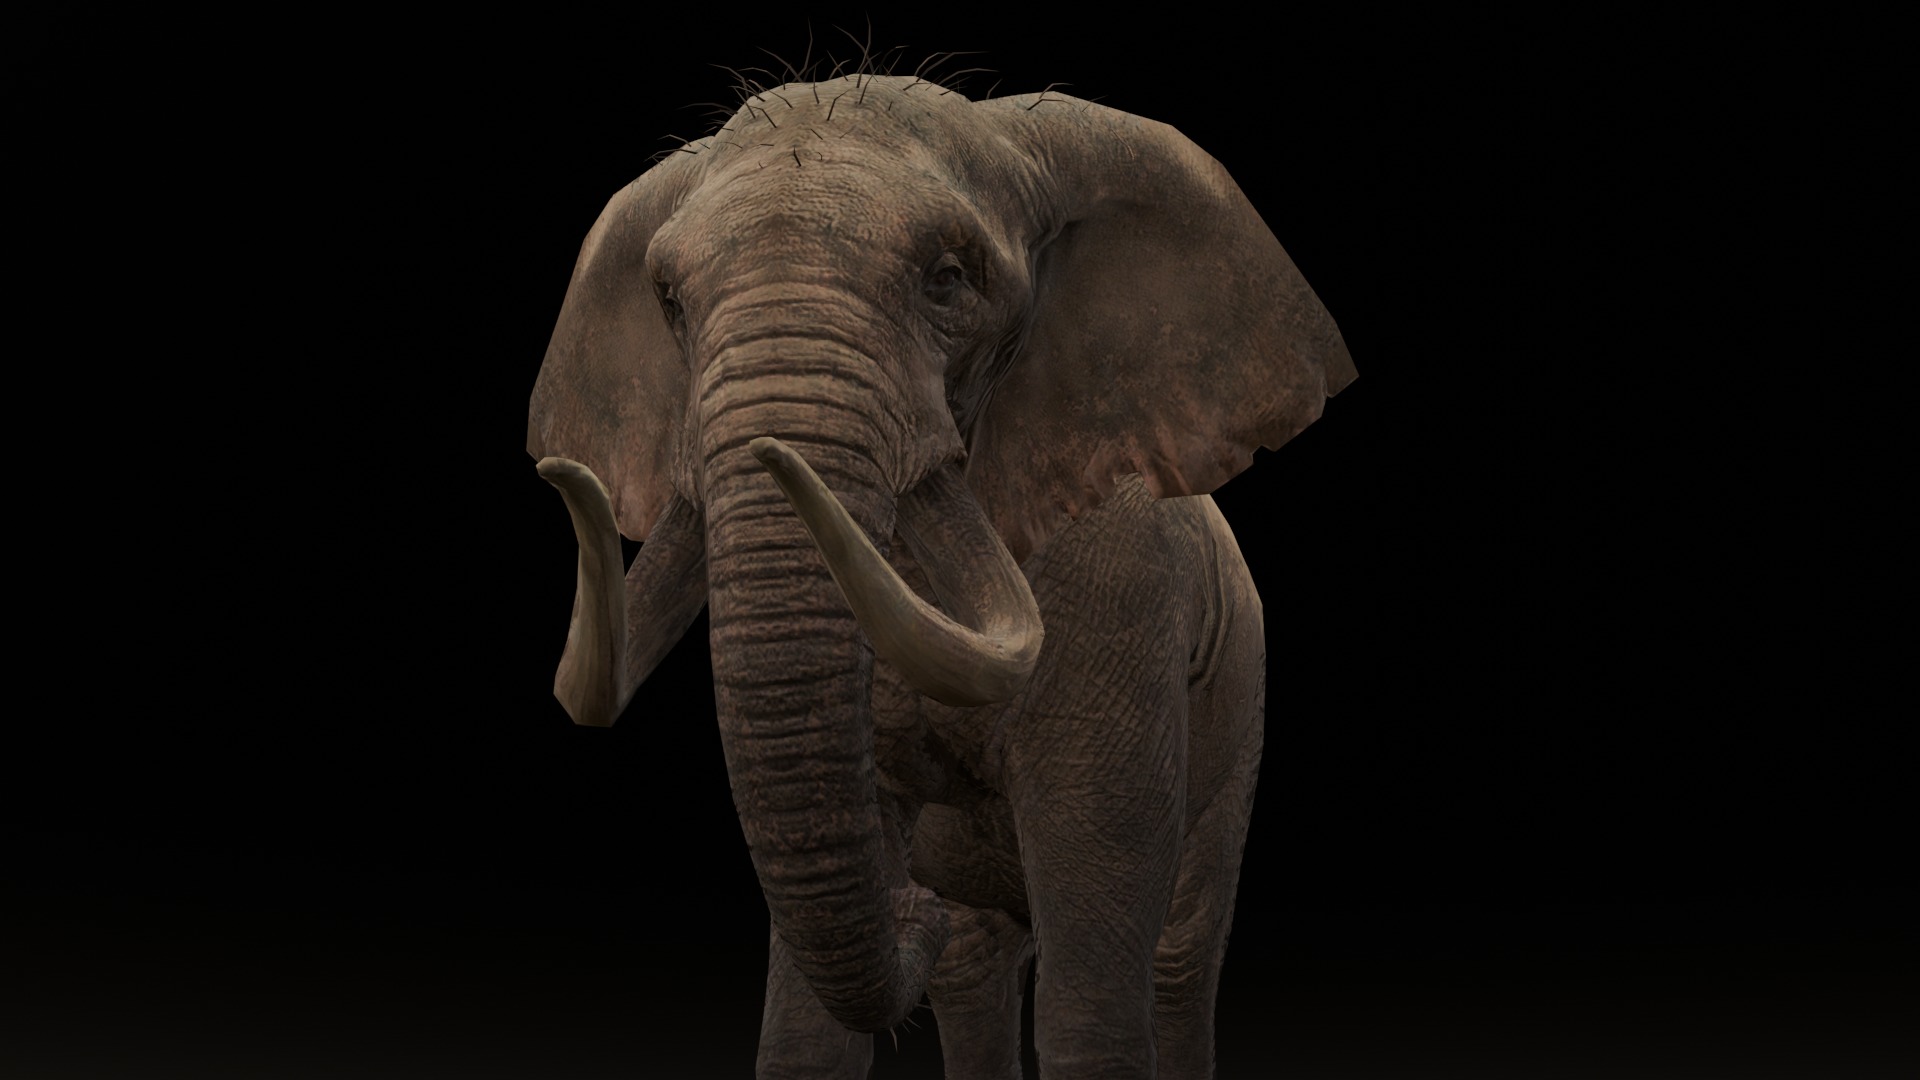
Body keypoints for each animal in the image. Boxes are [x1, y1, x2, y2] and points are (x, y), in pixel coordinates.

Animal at [527, 63, 1355, 1079]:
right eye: (671, 302)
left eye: (949, 280)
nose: (909, 906)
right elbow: (806, 1030)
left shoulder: (1124, 582)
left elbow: (1093, 979)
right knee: (973, 967)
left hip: (1240, 707)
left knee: (1180, 952)